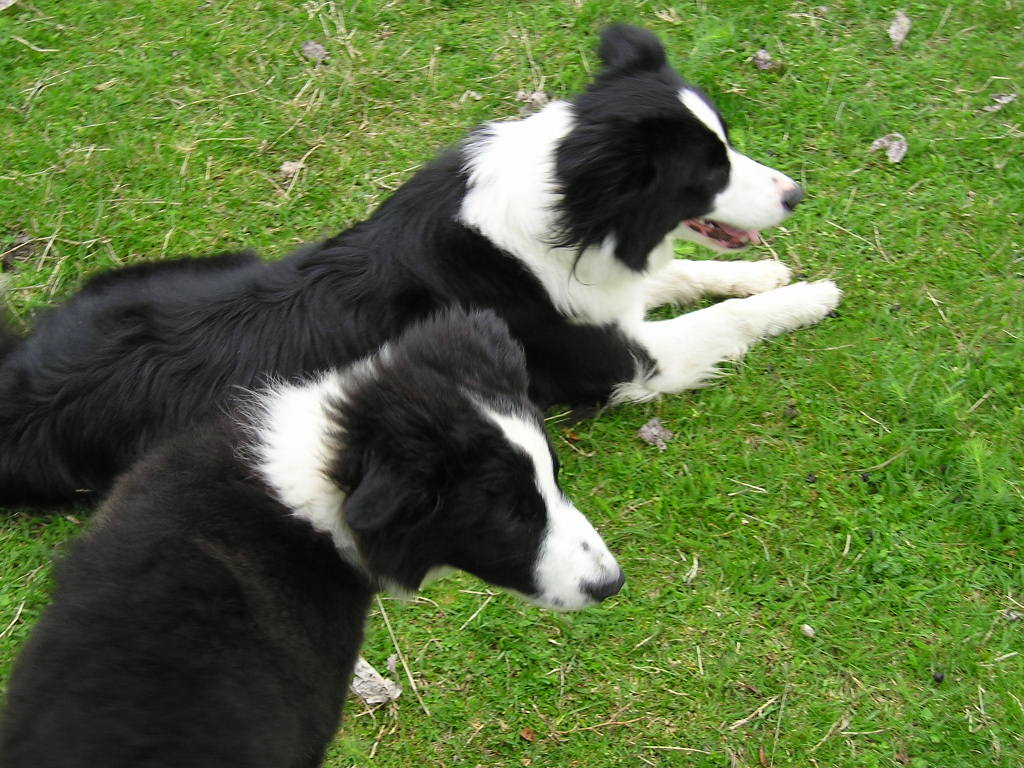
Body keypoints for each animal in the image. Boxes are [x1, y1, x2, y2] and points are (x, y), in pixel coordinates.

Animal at [0, 24, 839, 507]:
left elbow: (680, 276)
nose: (796, 195)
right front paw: (810, 297)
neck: (568, 208)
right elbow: (722, 321)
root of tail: (18, 380)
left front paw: (767, 275)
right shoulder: (620, 363)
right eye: (707, 172)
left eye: (728, 143)